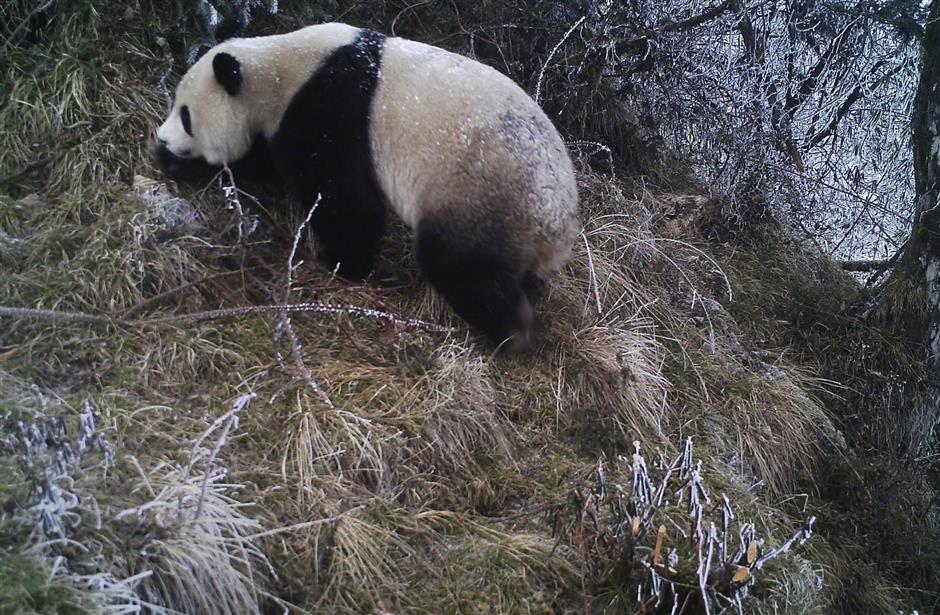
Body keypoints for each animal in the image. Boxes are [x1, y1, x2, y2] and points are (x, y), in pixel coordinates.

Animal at [153, 24, 576, 354]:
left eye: (186, 115)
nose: (163, 138)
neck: (278, 69)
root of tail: (557, 229)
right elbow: (270, 166)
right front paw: (174, 162)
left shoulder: (332, 107)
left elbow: (343, 198)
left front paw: (342, 265)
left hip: (480, 194)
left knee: (462, 265)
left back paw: (512, 335)